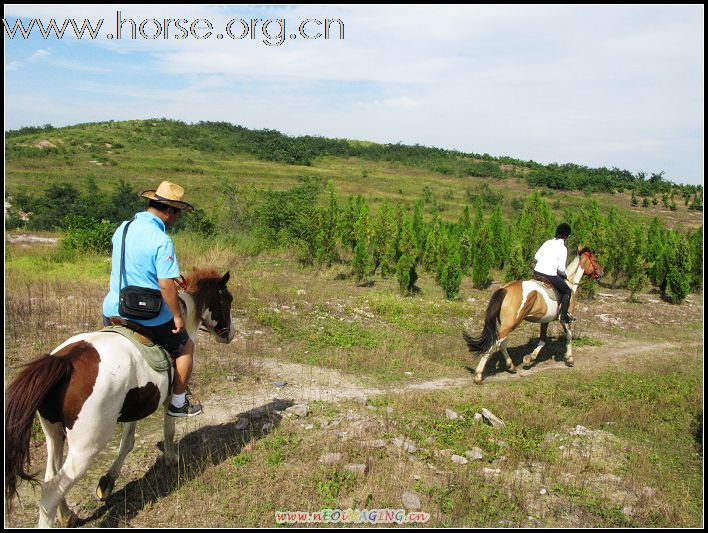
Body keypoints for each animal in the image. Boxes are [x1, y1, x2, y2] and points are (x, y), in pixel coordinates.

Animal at [5, 268, 236, 524]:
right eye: (227, 299)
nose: (230, 334)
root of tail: (63, 362)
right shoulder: (168, 397)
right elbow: (168, 429)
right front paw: (170, 458)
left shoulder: (135, 407)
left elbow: (127, 443)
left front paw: (107, 482)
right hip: (85, 448)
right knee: (50, 492)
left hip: (53, 434)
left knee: (51, 476)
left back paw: (67, 515)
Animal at [464, 245, 604, 382]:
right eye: (595, 260)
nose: (601, 273)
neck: (569, 283)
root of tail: (506, 289)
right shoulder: (564, 319)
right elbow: (568, 336)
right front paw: (569, 359)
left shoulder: (545, 320)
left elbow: (543, 340)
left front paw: (529, 358)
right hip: (511, 324)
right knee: (495, 343)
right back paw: (478, 375)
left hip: (507, 324)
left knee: (502, 343)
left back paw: (511, 366)